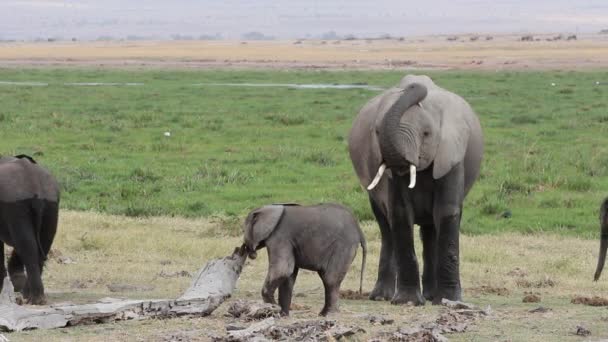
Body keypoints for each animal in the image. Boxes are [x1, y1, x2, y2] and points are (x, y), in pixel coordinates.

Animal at [346, 75, 484, 304]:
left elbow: (446, 212)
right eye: (377, 131)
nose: (413, 84)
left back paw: (431, 296)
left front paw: (449, 301)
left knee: (430, 230)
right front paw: (407, 301)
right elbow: (401, 215)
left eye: (426, 133)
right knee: (387, 228)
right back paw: (382, 297)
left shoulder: (452, 155)